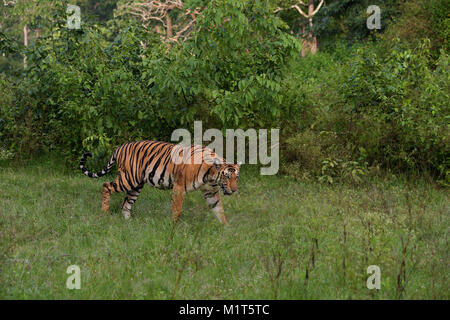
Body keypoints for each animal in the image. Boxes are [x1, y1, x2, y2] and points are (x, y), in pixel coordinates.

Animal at [78, 140, 239, 225]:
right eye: (226, 177)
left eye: (236, 177)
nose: (234, 190)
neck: (211, 175)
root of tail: (120, 147)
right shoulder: (179, 188)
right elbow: (176, 209)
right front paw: (173, 226)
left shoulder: (211, 191)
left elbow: (219, 209)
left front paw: (226, 228)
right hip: (128, 179)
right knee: (106, 186)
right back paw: (105, 212)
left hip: (136, 186)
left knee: (125, 204)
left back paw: (129, 222)